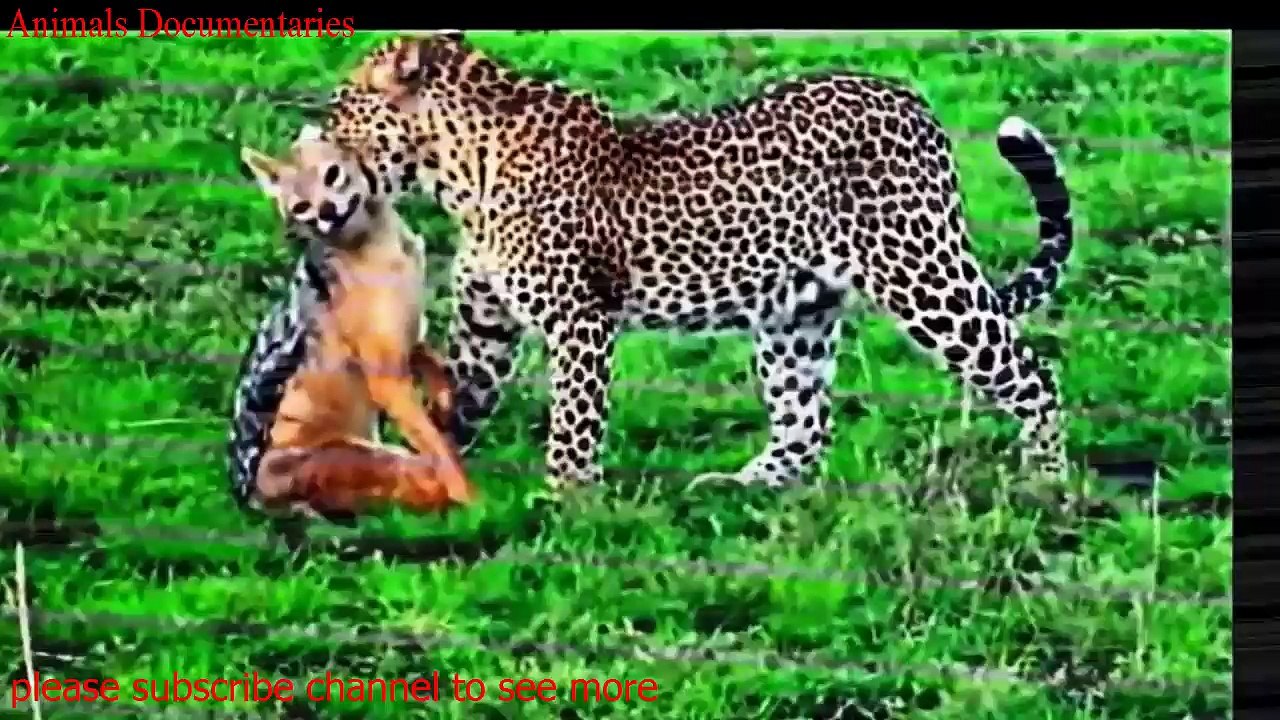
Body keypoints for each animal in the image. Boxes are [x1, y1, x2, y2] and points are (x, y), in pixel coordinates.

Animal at [229, 123, 475, 521]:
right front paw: (475, 502)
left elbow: (434, 363)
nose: (327, 211)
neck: (383, 248)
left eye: (332, 175)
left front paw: (443, 397)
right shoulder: (384, 375)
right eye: (301, 208)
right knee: (423, 483)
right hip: (374, 458)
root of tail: (253, 503)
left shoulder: (406, 337)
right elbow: (443, 453)